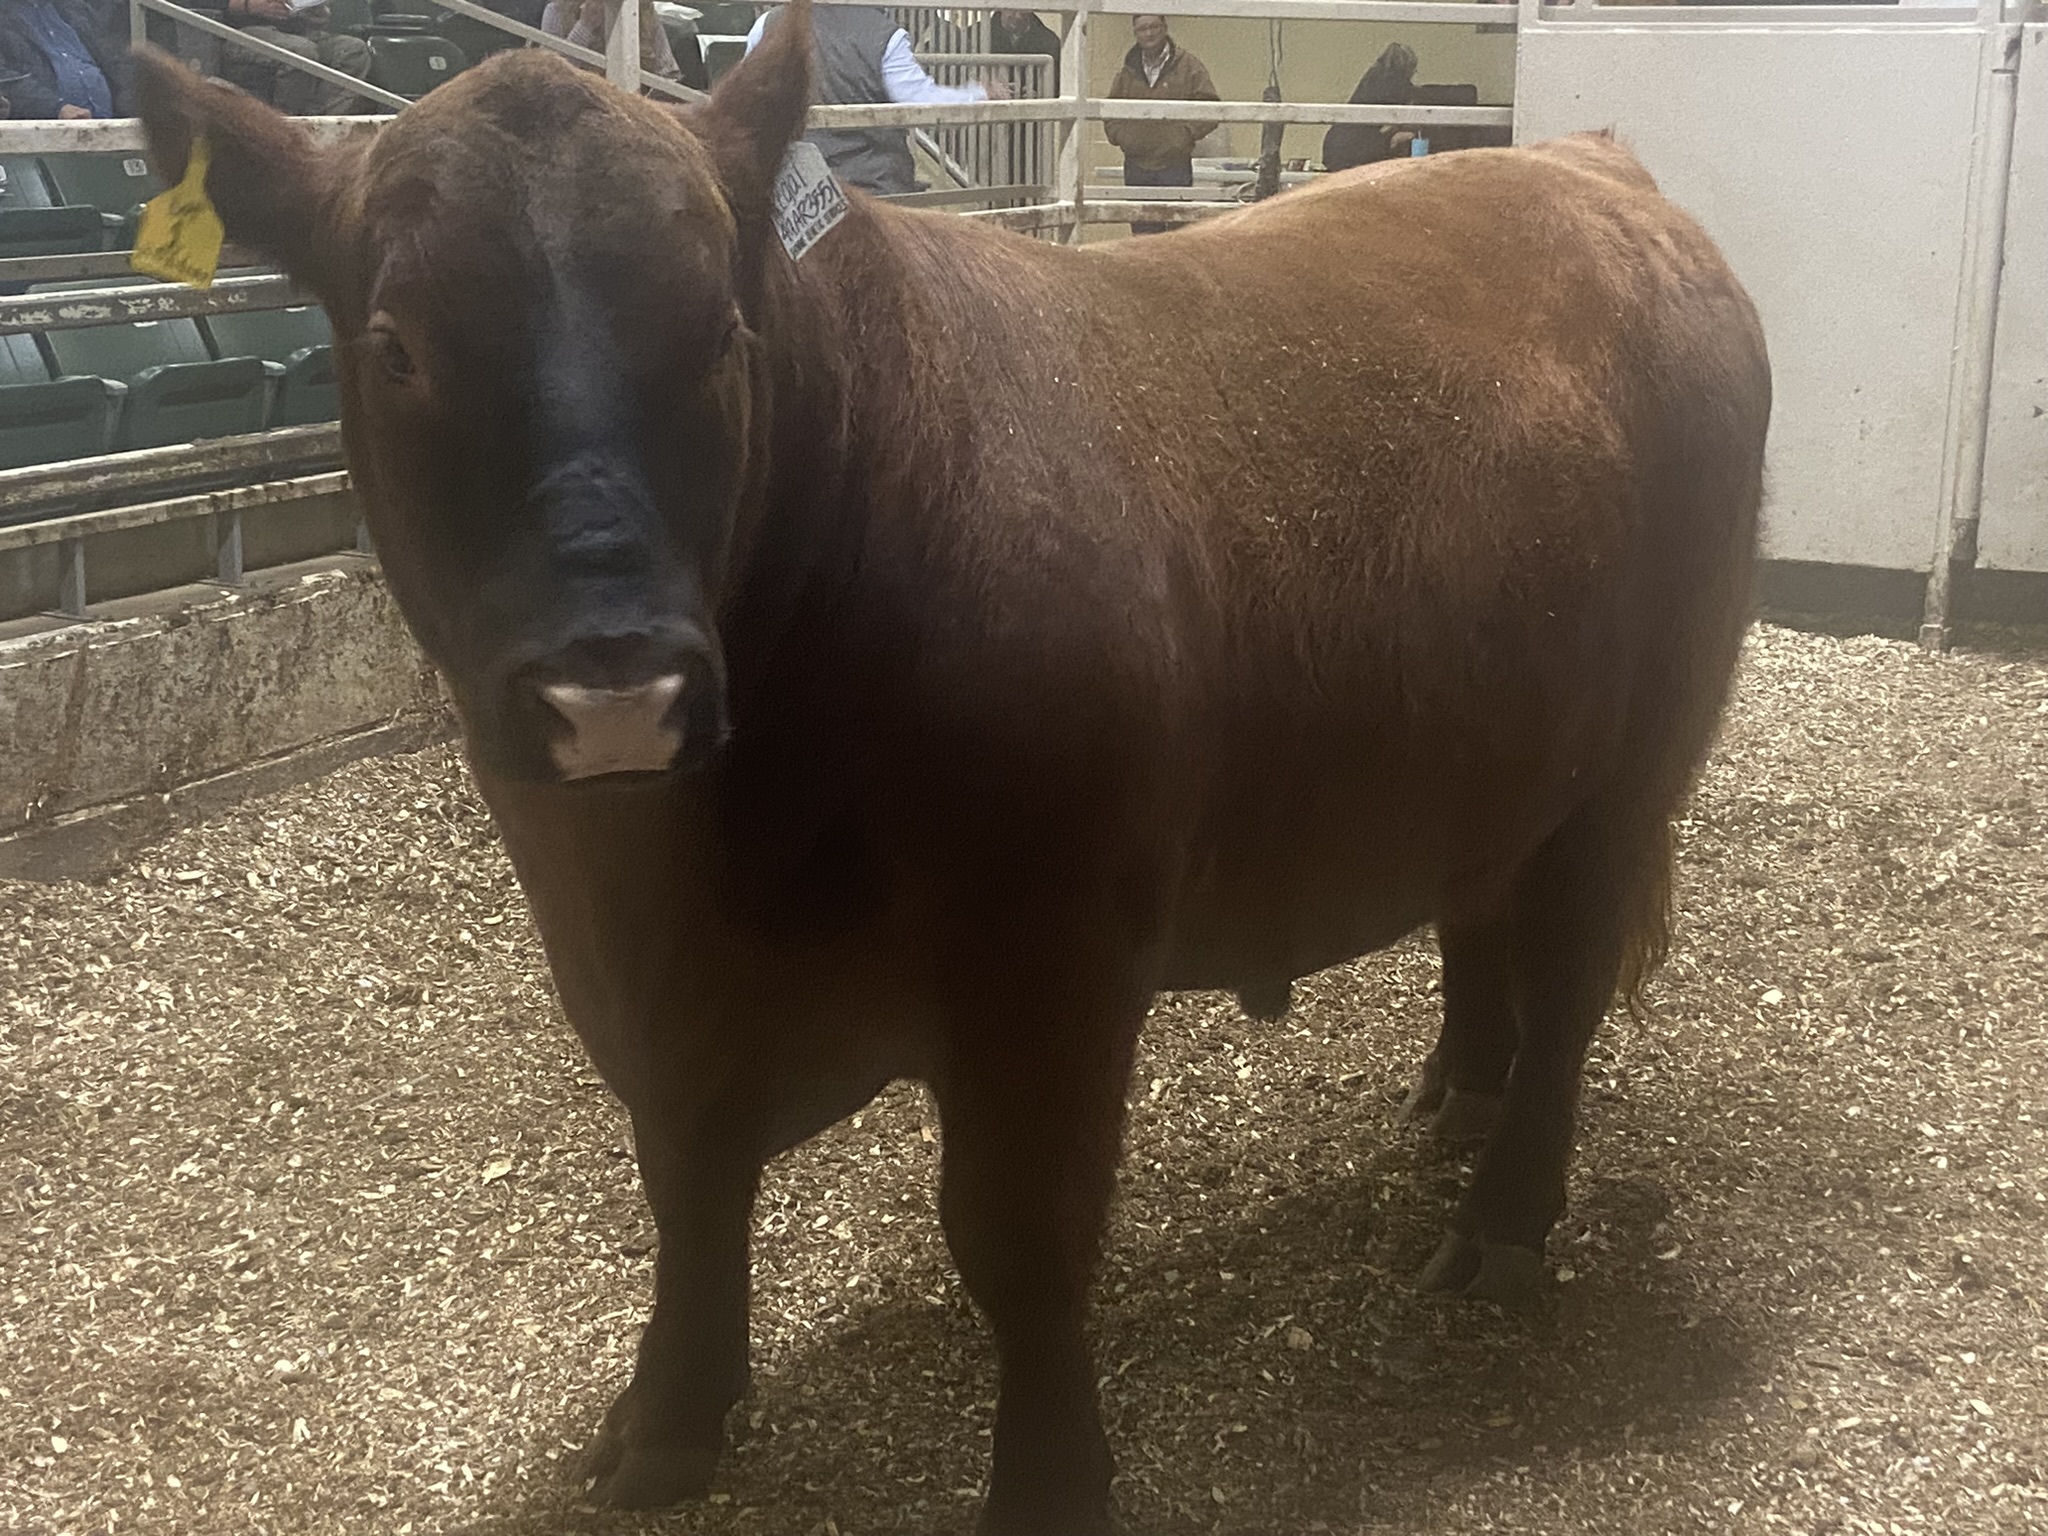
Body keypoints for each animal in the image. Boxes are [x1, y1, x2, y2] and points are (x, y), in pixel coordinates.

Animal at [140, 9, 1777, 1531]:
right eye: (397, 345)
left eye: (719, 333)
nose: (615, 680)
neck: (690, 871)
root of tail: (1582, 164)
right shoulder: (640, 994)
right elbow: (688, 1188)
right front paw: (666, 1419)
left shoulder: (1050, 969)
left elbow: (1018, 1241)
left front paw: (1048, 1481)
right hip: (1499, 754)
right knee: (1482, 915)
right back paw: (1458, 1089)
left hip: (1634, 766)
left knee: (1569, 989)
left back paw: (1504, 1218)